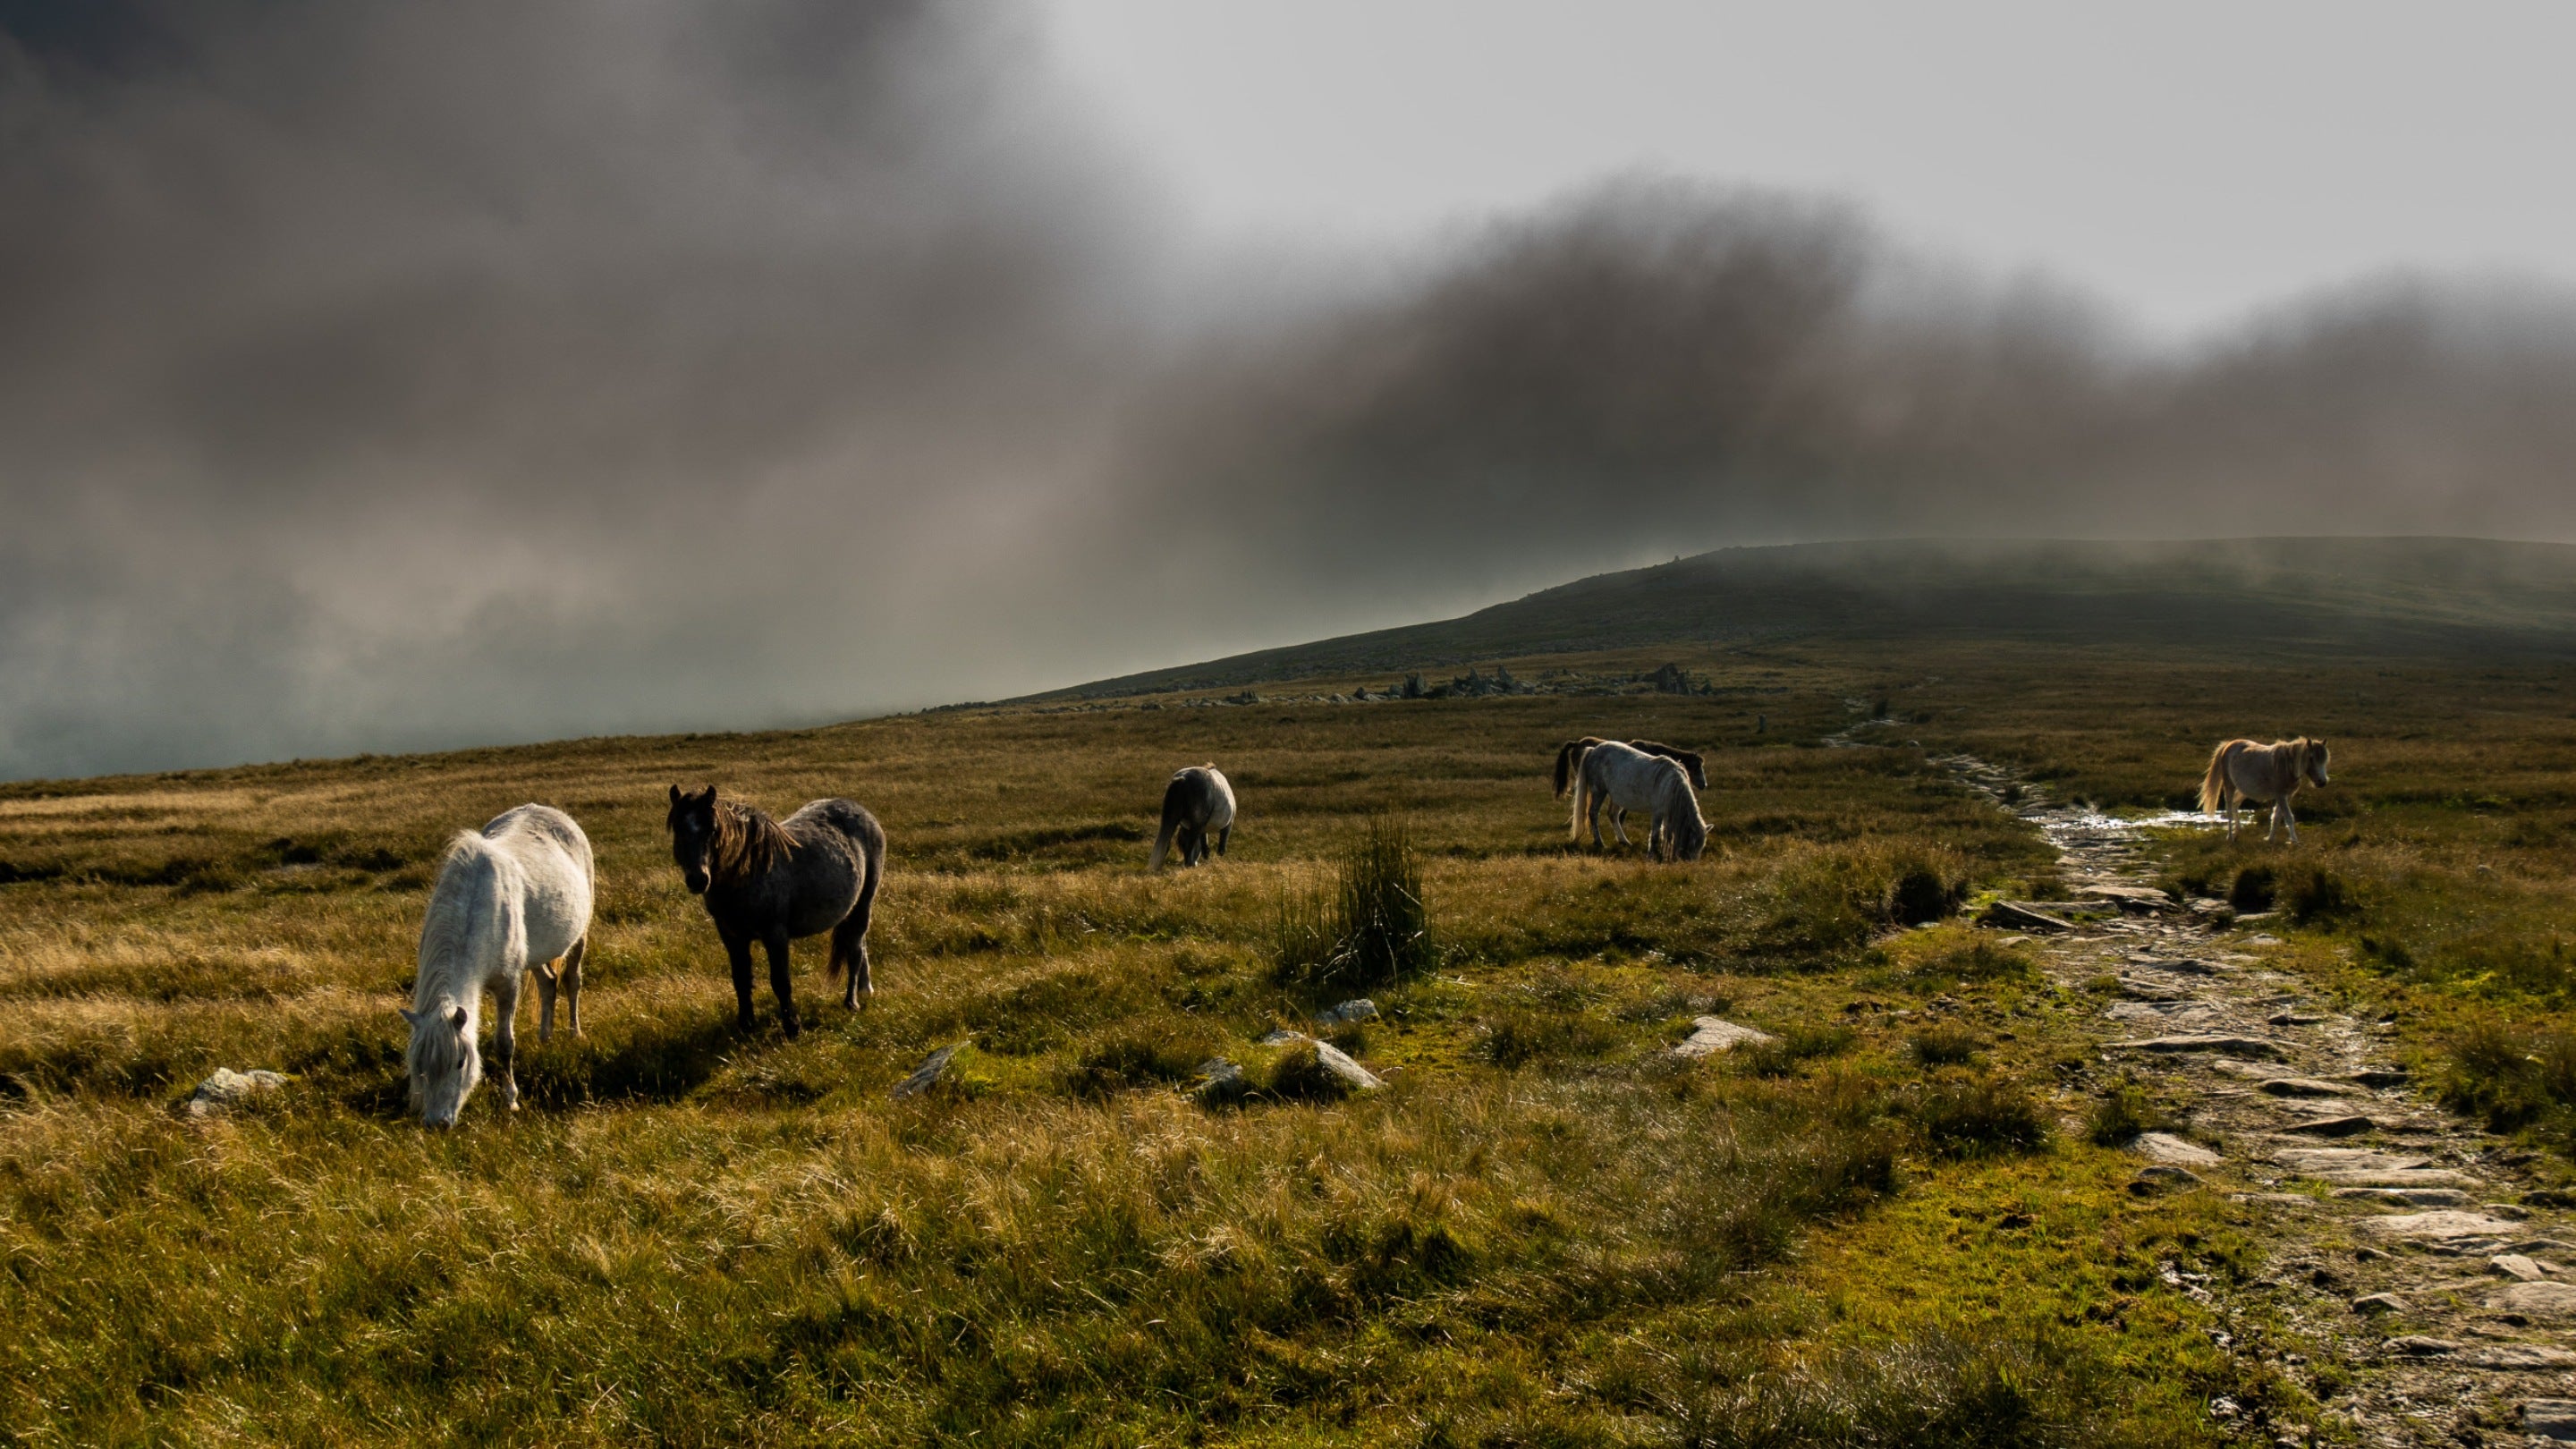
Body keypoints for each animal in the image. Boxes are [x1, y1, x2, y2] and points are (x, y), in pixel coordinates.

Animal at [403, 803, 594, 1128]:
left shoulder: (508, 984)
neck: (476, 910)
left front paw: (511, 1100)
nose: (437, 1124)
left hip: (580, 934)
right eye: (419, 1066)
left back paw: (574, 1033)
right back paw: (545, 1038)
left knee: (571, 981)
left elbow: (505, 1044)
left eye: (460, 1063)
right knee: (548, 983)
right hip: (536, 953)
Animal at [666, 785, 886, 1037]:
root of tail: (864, 813)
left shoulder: (775, 935)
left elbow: (780, 981)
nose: (698, 880)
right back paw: (864, 990)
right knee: (859, 944)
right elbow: (741, 979)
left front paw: (792, 1027)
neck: (747, 872)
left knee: (855, 950)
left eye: (712, 830)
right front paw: (746, 1025)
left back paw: (852, 1002)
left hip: (864, 902)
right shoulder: (732, 937)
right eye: (678, 829)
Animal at [1567, 741, 1708, 862]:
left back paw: (1624, 841)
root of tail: (1593, 750)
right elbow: (1655, 835)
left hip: (1617, 796)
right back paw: (1600, 843)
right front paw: (1651, 856)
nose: (1690, 863)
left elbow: (1665, 834)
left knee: (1613, 815)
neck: (1671, 785)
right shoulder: (1658, 812)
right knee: (1593, 813)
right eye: (1693, 843)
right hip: (1599, 791)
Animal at [2198, 736, 2332, 844]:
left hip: (2244, 790)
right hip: (2229, 785)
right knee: (2229, 809)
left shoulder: (2287, 796)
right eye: (2311, 758)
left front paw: (2270, 839)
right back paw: (2230, 837)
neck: (2287, 765)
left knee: (2235, 805)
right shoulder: (2280, 795)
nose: (2322, 782)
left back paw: (2237, 832)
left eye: (2325, 759)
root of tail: (2228, 745)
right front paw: (2294, 841)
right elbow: (2288, 817)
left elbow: (2277, 817)